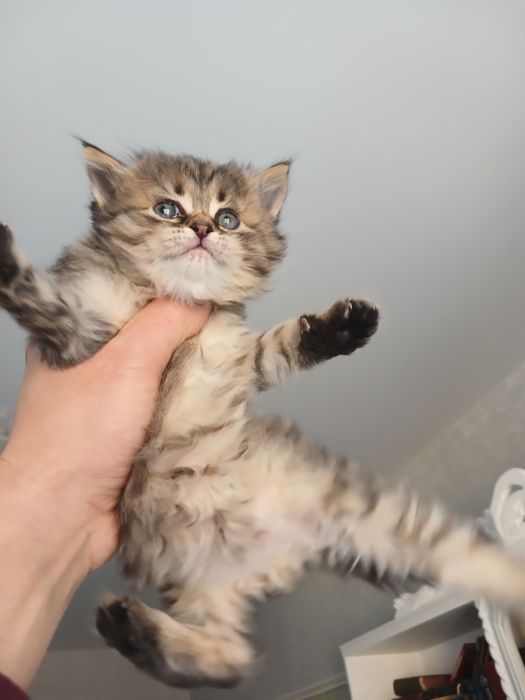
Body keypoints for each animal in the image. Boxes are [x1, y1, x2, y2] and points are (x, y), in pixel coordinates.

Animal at [1, 142, 525, 689]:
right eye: (168, 209)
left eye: (228, 218)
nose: (202, 228)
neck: (173, 295)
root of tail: (280, 548)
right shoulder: (83, 343)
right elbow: (51, 310)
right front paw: (4, 257)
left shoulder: (237, 354)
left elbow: (276, 348)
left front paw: (343, 328)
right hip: (200, 584)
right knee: (229, 660)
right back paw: (128, 628)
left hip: (370, 514)